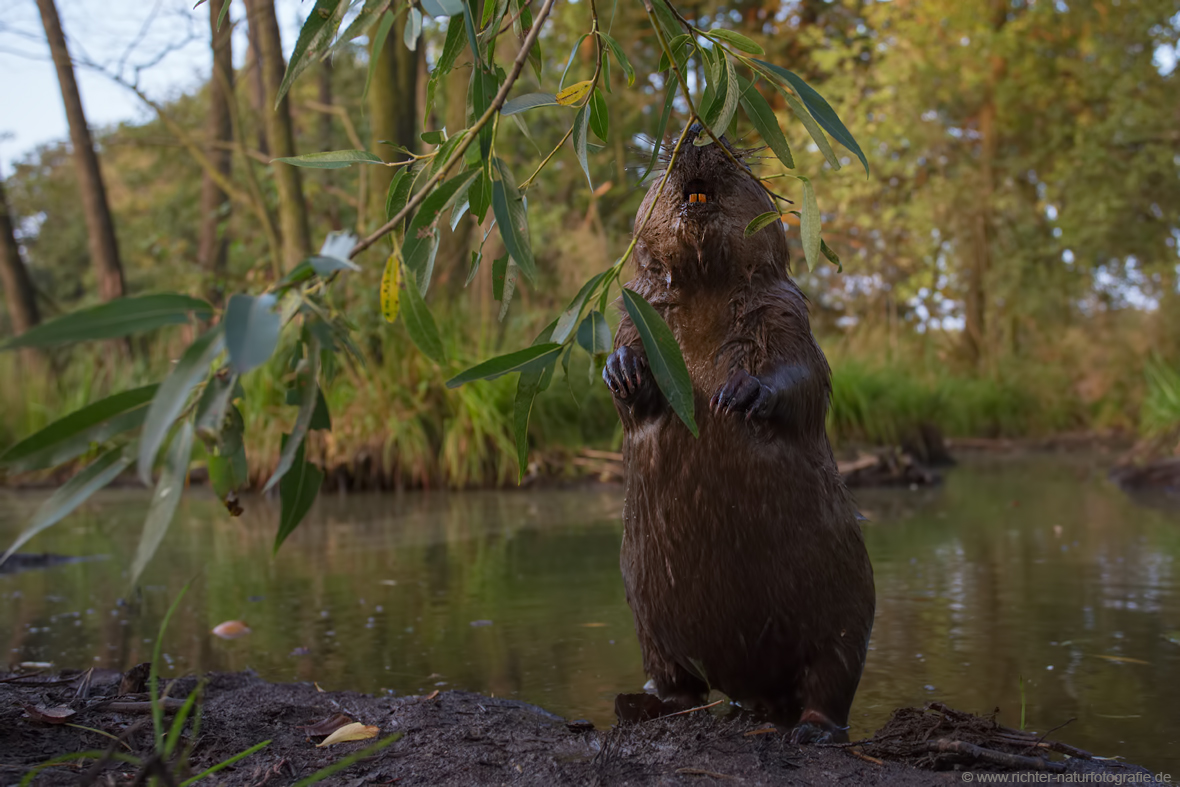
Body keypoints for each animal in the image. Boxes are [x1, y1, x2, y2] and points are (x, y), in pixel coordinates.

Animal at [608, 124, 877, 745]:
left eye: (732, 148)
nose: (697, 133)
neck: (706, 287)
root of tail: (758, 692)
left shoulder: (783, 307)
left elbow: (802, 375)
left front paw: (738, 395)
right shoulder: (638, 309)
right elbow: (627, 363)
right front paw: (623, 372)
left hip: (847, 609)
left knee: (831, 682)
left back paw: (811, 729)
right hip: (645, 615)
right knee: (678, 683)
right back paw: (636, 703)